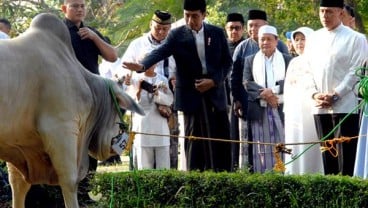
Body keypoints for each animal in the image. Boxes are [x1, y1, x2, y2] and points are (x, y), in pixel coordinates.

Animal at [0, 13, 144, 208]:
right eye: (120, 109)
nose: (120, 145)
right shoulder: (61, 128)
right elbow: (69, 180)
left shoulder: (17, 140)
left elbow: (17, 183)